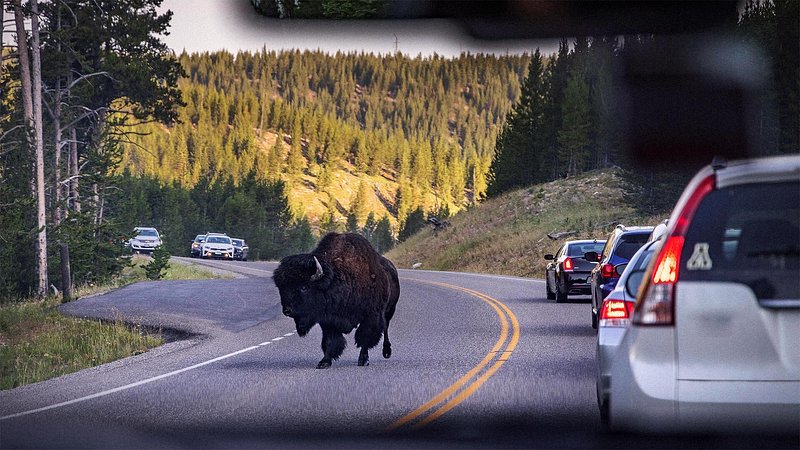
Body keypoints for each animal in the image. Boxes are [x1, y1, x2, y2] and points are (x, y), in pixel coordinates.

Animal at [276, 232, 400, 370]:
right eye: (282, 288)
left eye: (304, 287)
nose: (287, 310)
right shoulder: (329, 321)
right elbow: (331, 341)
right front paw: (324, 362)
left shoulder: (371, 317)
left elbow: (364, 337)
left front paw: (363, 360)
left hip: (389, 310)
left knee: (385, 327)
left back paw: (386, 352)